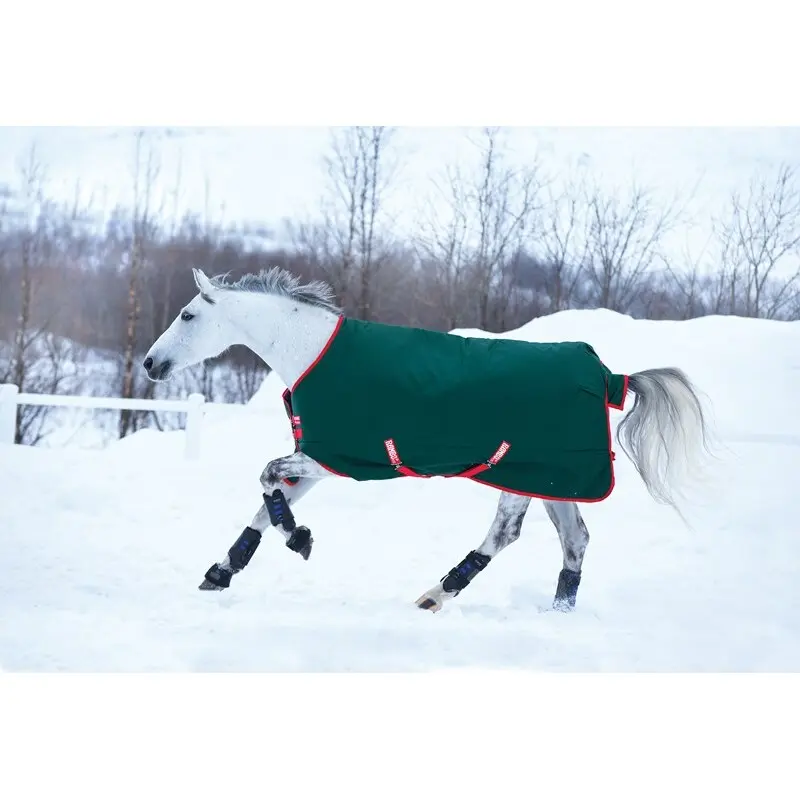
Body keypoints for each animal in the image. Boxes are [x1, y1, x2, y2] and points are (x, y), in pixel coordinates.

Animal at [143, 267, 712, 613]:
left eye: (188, 314)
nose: (150, 364)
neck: (314, 353)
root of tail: (608, 376)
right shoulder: (321, 460)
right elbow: (267, 502)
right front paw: (222, 571)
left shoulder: (332, 458)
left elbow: (266, 480)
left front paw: (298, 540)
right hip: (553, 480)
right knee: (575, 541)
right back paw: (556, 611)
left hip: (518, 474)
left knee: (506, 534)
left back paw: (435, 595)